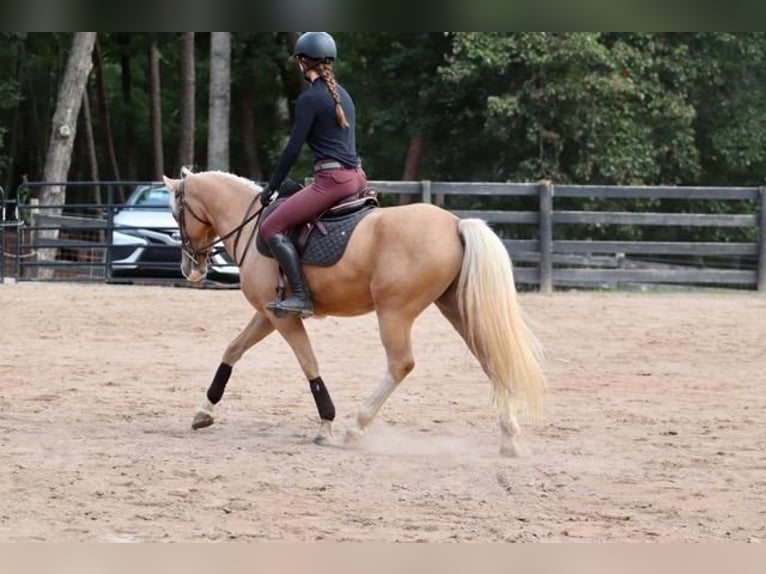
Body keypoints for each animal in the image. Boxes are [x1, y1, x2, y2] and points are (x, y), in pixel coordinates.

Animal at [162, 169, 544, 456]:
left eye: (176, 214)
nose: (190, 269)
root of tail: (455, 224)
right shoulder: (268, 314)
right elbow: (233, 349)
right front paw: (204, 411)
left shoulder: (283, 317)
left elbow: (309, 363)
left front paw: (326, 424)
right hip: (454, 307)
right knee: (490, 357)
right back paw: (509, 436)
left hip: (394, 313)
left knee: (401, 364)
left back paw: (356, 426)